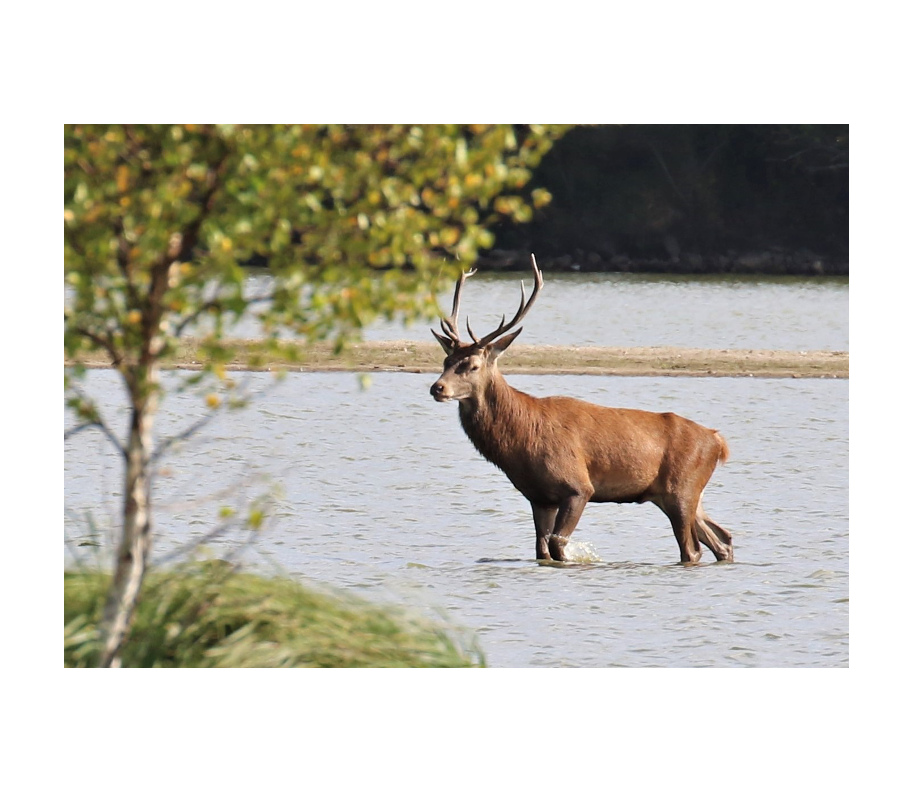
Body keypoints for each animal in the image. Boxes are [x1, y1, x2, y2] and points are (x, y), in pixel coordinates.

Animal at [429, 253, 733, 565]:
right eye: (446, 361)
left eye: (472, 365)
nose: (437, 388)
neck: (521, 442)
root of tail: (718, 442)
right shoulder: (539, 497)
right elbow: (542, 550)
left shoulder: (578, 487)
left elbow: (557, 545)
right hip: (682, 494)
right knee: (722, 538)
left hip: (681, 490)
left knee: (692, 548)